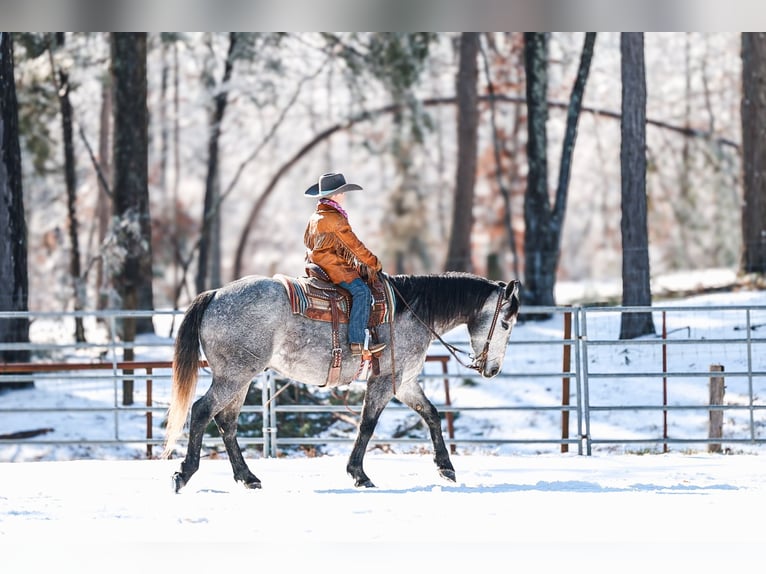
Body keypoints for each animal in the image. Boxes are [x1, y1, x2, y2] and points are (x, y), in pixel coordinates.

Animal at [163, 271, 521, 491]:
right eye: (505, 323)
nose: (492, 369)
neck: (411, 310)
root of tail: (215, 295)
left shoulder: (404, 381)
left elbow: (431, 414)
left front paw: (445, 467)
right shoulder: (386, 380)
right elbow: (367, 424)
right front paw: (359, 474)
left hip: (240, 378)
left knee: (226, 422)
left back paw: (247, 477)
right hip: (235, 375)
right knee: (202, 411)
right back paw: (185, 472)